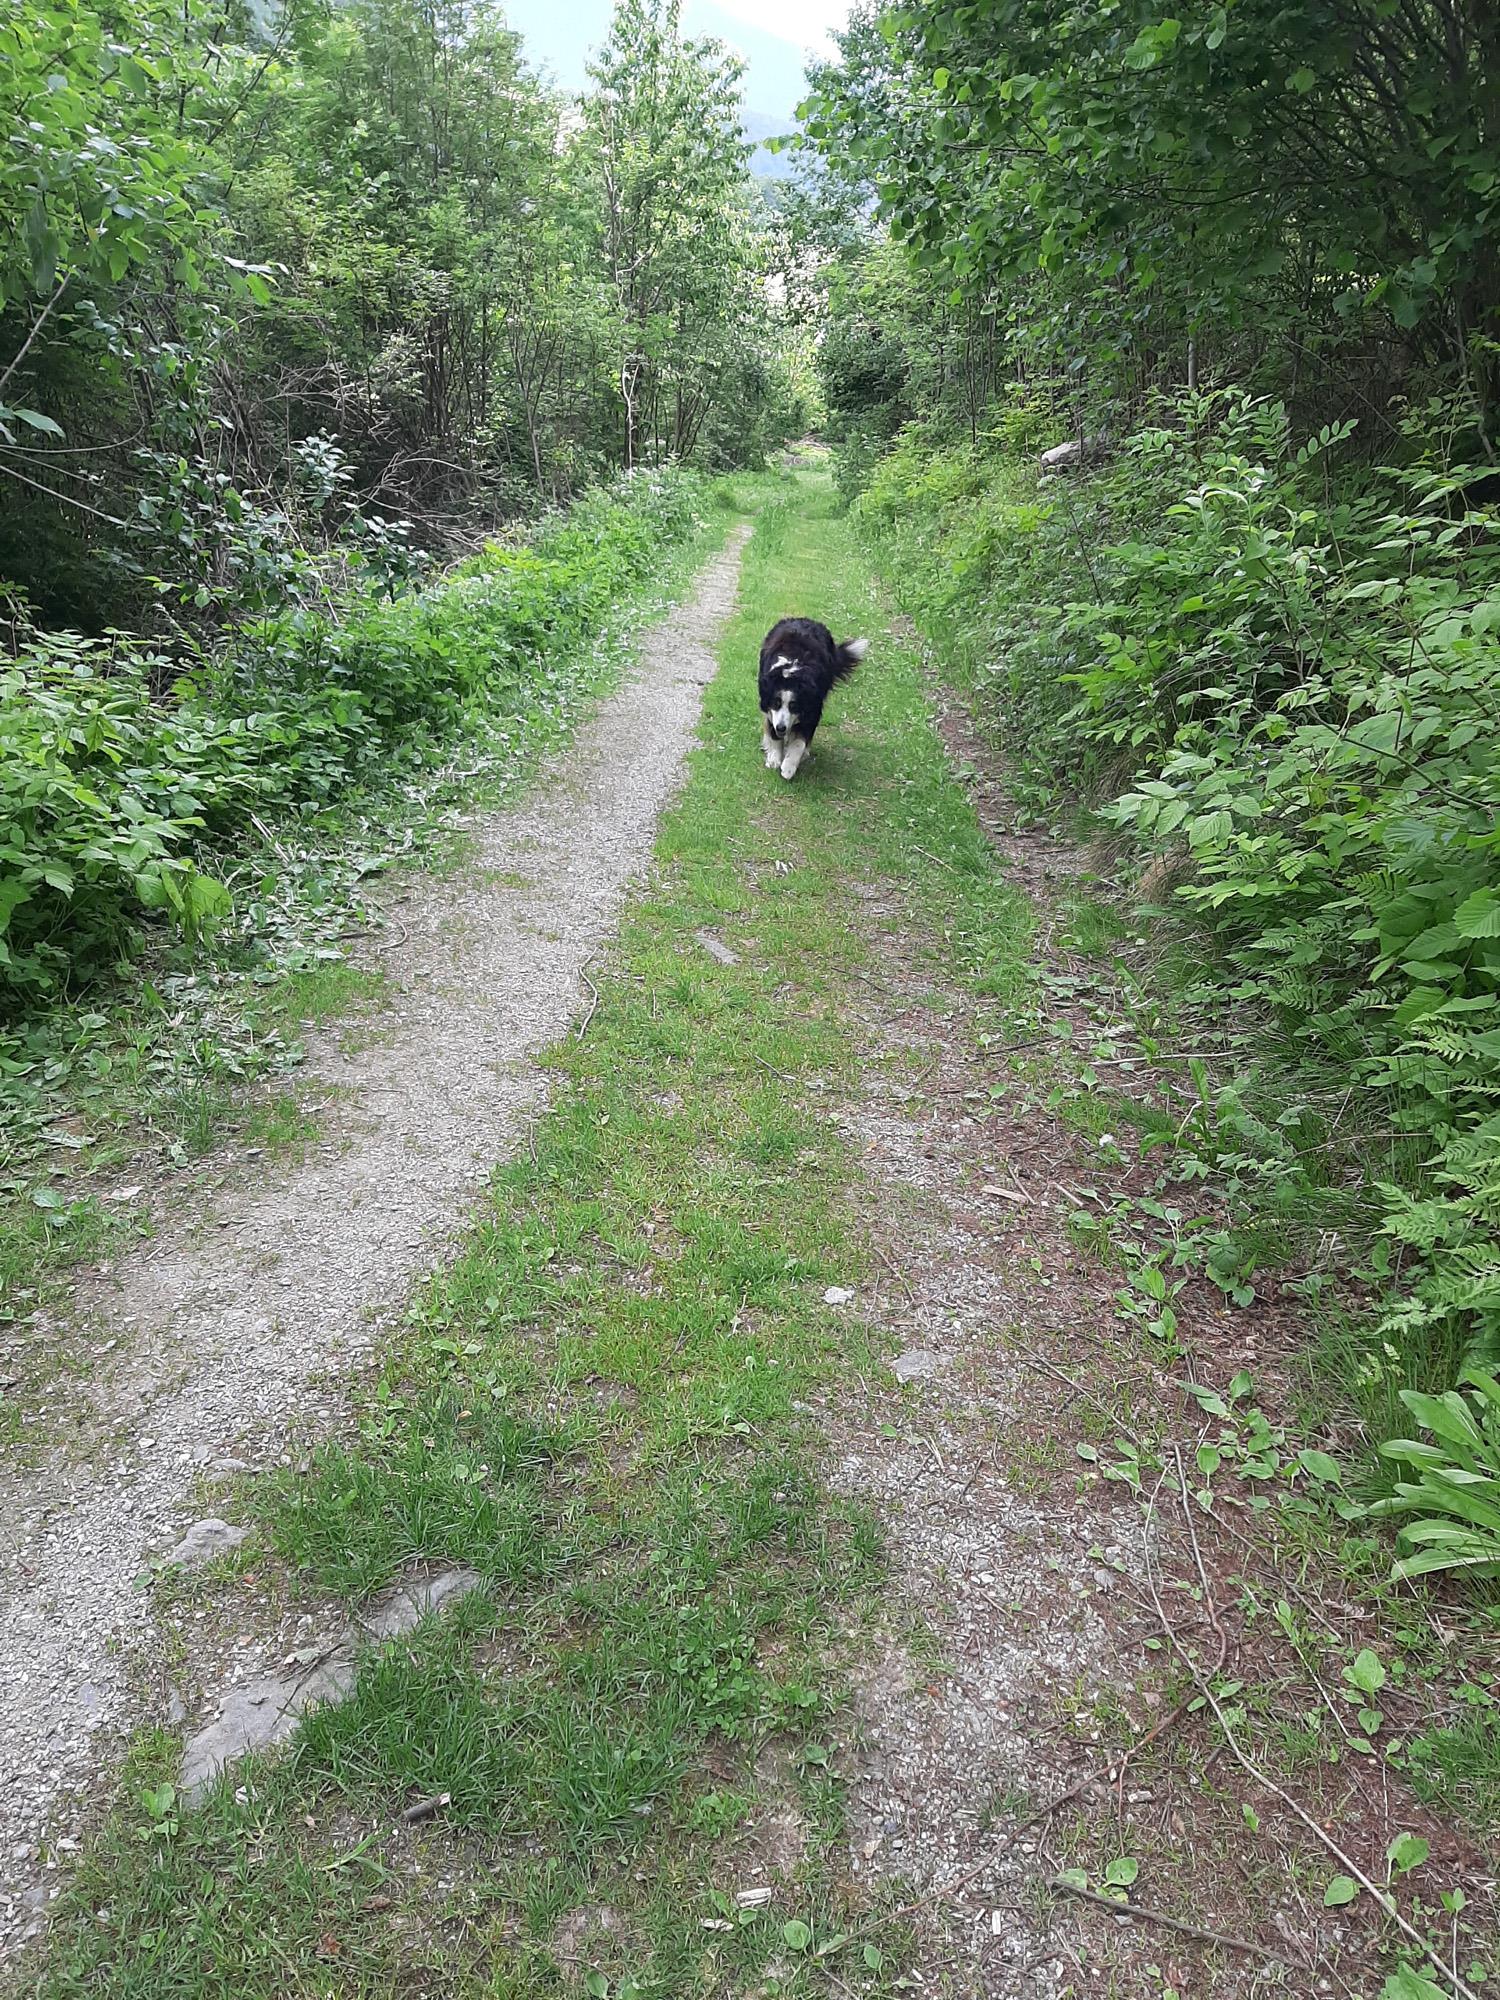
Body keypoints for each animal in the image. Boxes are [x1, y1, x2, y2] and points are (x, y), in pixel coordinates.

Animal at [764, 616, 868, 780]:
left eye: (794, 705)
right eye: (776, 703)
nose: (781, 727)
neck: (791, 673)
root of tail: (804, 619)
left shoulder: (813, 709)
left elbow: (799, 741)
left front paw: (789, 766)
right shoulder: (770, 709)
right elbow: (774, 734)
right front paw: (774, 758)